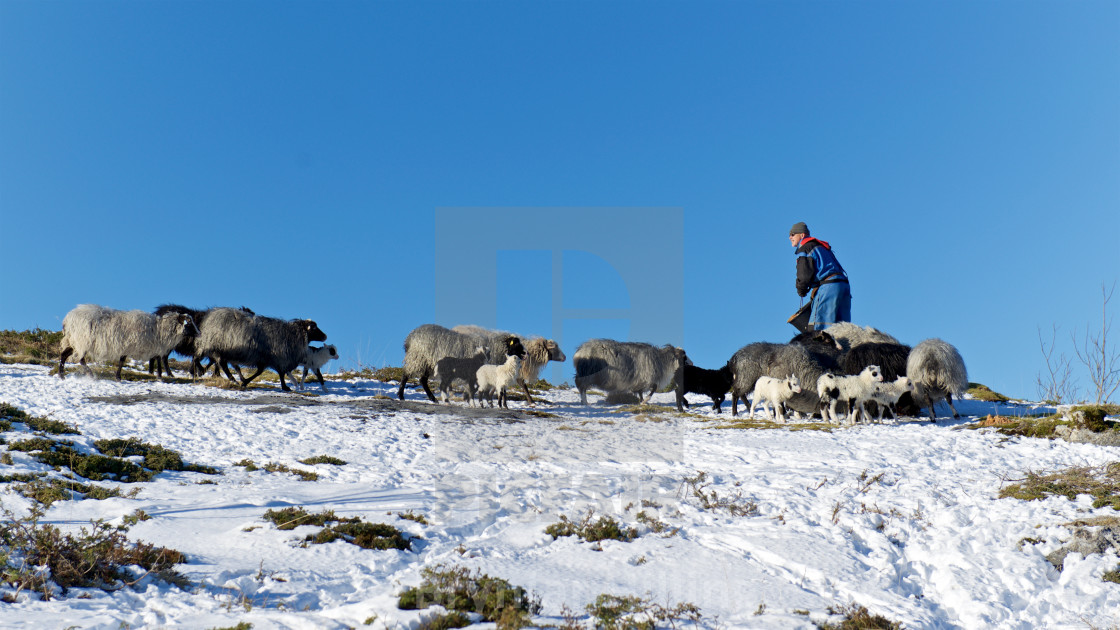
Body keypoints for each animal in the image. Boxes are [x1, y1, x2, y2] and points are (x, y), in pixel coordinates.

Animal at [57, 302, 198, 381]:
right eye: (189, 323)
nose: (199, 333)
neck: (159, 330)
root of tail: (68, 319)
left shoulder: (151, 346)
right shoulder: (129, 345)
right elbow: (122, 361)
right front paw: (159, 376)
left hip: (73, 340)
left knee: (64, 354)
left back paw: (61, 375)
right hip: (83, 340)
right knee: (80, 359)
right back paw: (90, 375)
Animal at [189, 307, 324, 390]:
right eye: (314, 328)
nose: (325, 336)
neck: (292, 334)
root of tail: (212, 316)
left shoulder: (265, 359)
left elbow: (261, 371)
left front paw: (245, 381)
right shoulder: (278, 358)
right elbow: (279, 373)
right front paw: (285, 387)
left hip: (220, 349)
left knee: (216, 362)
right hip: (215, 345)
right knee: (204, 358)